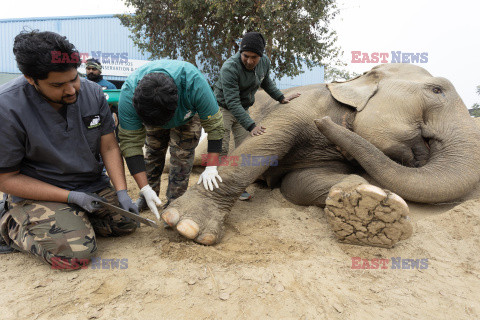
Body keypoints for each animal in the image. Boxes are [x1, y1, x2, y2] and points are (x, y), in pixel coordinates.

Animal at [159, 62, 480, 248]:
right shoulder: (303, 106)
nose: (322, 123)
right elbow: (263, 142)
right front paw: (186, 225)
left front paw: (370, 207)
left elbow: (298, 183)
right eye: (437, 90)